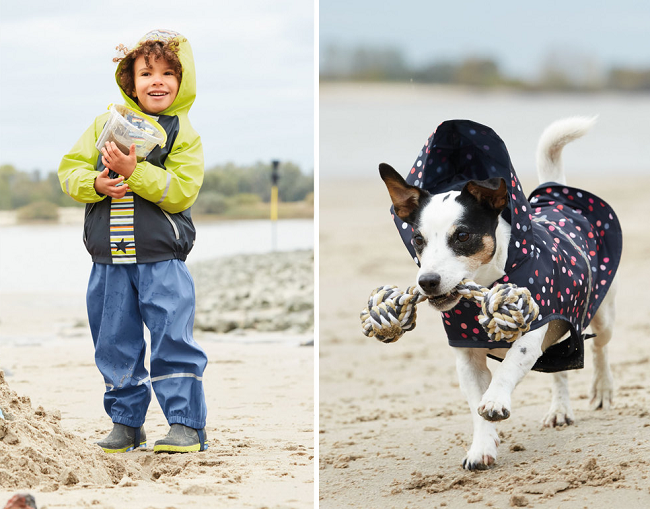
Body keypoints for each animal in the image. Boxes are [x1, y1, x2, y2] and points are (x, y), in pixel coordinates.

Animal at [378, 118, 620, 468]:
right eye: (418, 240)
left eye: (462, 236)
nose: (427, 281)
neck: (485, 288)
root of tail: (557, 198)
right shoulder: (467, 357)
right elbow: (476, 404)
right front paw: (482, 448)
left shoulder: (533, 328)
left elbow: (508, 368)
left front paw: (495, 400)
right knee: (560, 369)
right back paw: (560, 410)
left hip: (602, 314)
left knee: (600, 347)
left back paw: (602, 389)